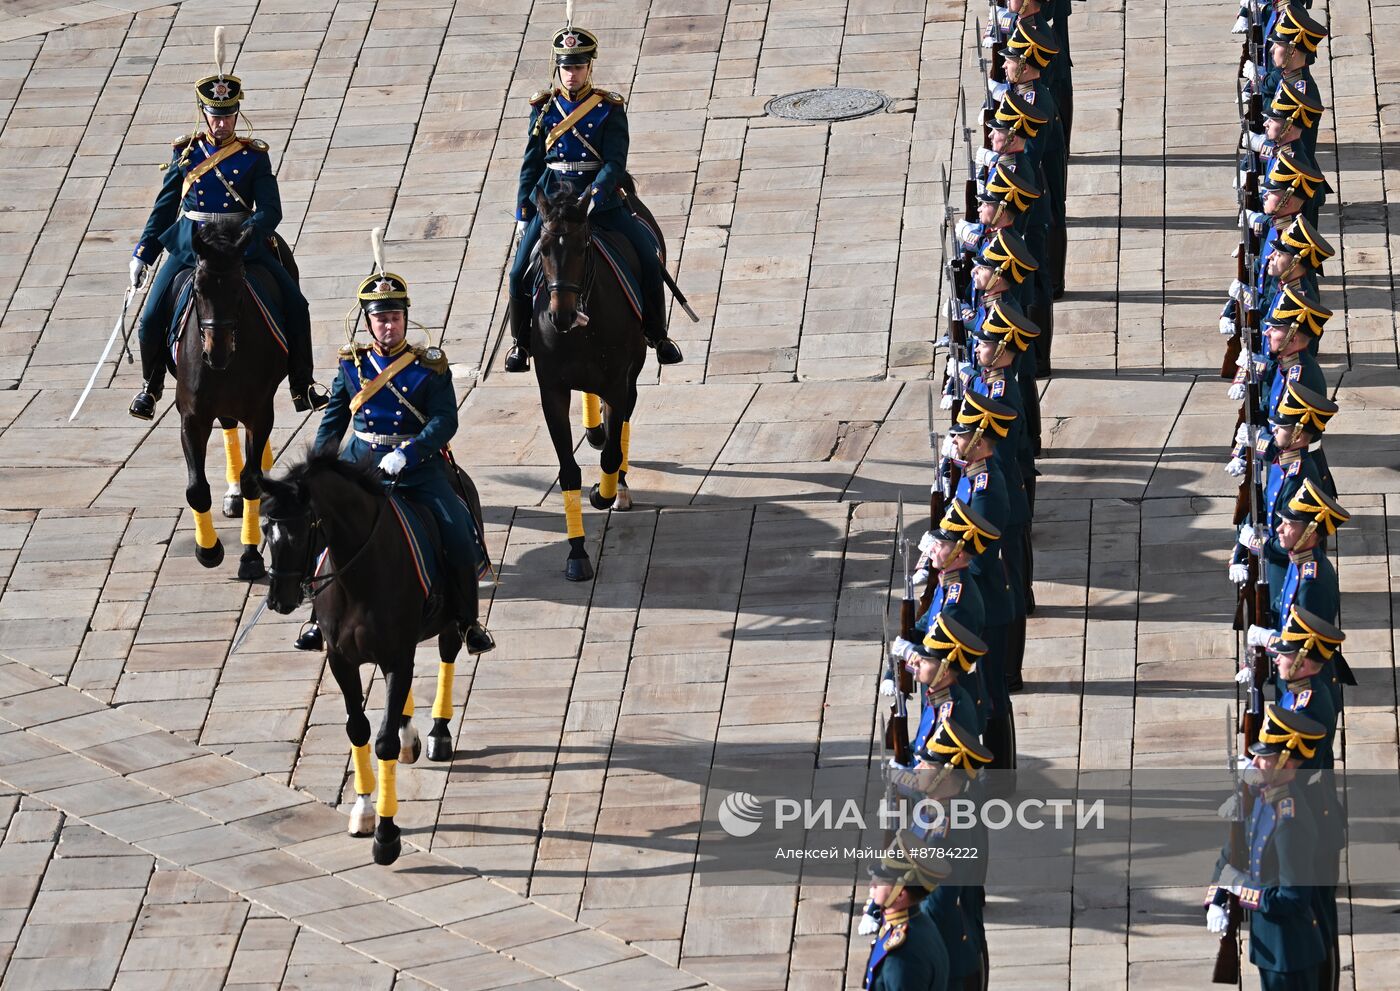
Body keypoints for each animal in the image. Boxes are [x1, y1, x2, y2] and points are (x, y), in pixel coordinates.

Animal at [177, 219, 292, 576]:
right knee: (228, 424)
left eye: (239, 289)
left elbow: (252, 479)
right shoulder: (192, 417)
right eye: (198, 290)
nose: (217, 353)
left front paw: (251, 555)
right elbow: (196, 489)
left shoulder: (259, 412)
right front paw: (208, 549)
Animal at [264, 453, 473, 862]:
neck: (359, 576)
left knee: (448, 654)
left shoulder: (396, 657)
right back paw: (410, 732)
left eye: (301, 531)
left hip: (449, 618)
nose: (278, 599)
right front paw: (362, 811)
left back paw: (439, 732)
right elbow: (358, 729)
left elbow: (384, 741)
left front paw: (387, 835)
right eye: (266, 528)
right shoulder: (342, 661)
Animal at [529, 186, 649, 579]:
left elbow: (613, 452)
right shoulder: (551, 391)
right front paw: (577, 553)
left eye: (583, 248)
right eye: (542, 249)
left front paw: (603, 493)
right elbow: (568, 472)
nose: (562, 315)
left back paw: (619, 487)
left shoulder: (617, 383)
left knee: (621, 428)